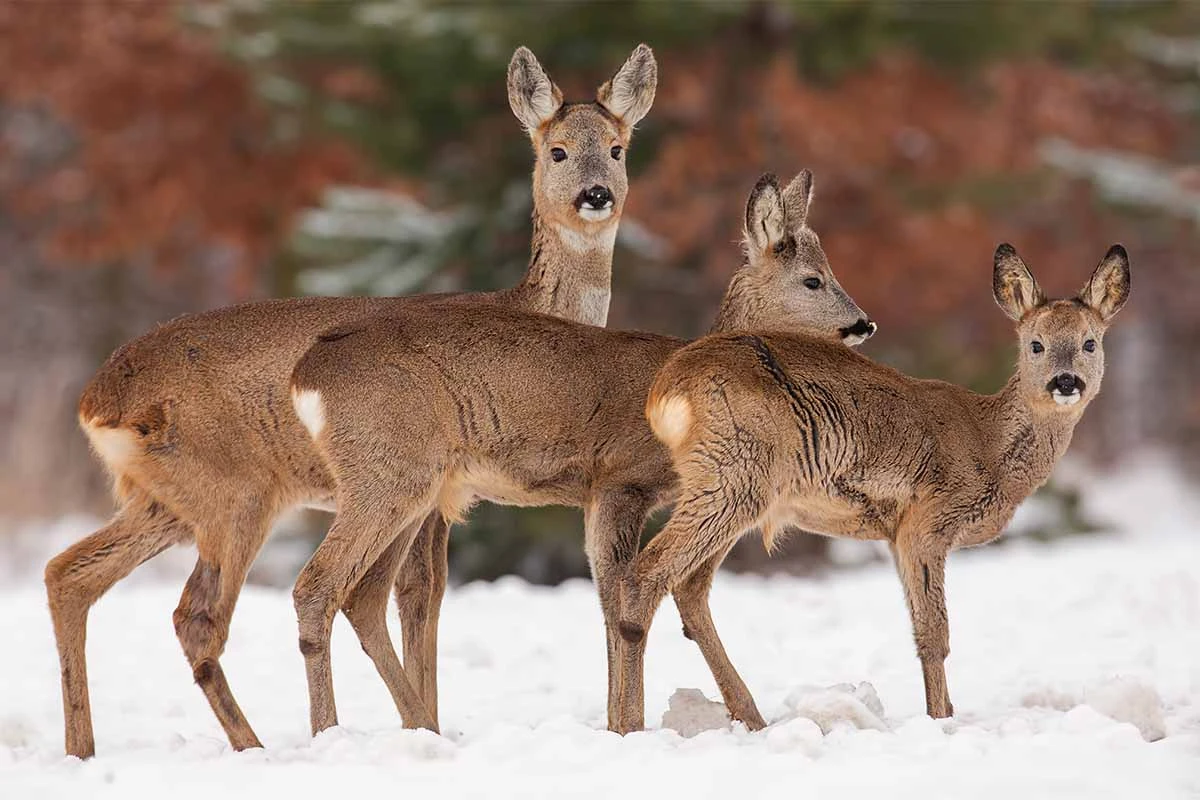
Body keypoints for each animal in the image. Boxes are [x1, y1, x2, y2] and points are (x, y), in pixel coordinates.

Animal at [42, 43, 657, 758]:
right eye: (556, 150)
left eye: (617, 148)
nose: (596, 195)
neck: (533, 309)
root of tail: (97, 399)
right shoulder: (439, 492)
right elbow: (417, 598)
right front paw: (426, 723)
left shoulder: (440, 497)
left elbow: (419, 601)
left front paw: (426, 721)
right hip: (240, 493)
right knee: (203, 613)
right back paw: (260, 744)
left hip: (163, 500)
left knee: (70, 574)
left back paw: (85, 747)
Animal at [286, 172, 878, 734]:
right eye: (813, 279)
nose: (863, 323)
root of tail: (306, 374)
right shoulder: (622, 479)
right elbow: (621, 594)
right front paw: (630, 724)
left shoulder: (596, 496)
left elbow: (607, 599)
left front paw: (617, 721)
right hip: (387, 472)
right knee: (315, 586)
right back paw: (331, 730)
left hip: (409, 487)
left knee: (361, 595)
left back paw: (417, 725)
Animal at [614, 242, 1128, 734]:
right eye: (1035, 344)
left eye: (1089, 342)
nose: (1066, 382)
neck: (989, 444)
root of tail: (665, 390)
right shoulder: (926, 522)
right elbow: (934, 636)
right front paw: (940, 720)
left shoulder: (895, 535)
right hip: (734, 471)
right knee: (646, 573)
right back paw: (630, 724)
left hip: (734, 486)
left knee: (687, 585)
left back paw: (744, 717)